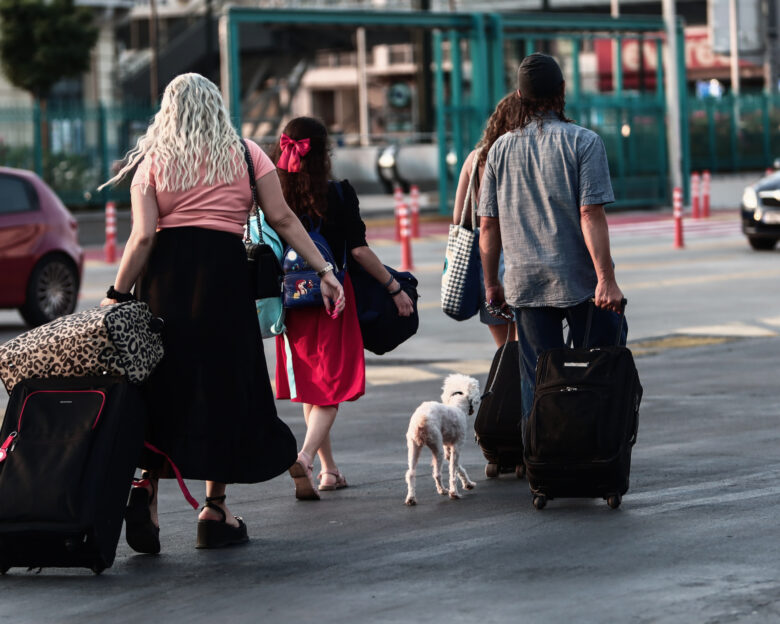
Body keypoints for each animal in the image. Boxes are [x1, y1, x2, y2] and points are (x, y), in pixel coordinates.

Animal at [402, 372, 482, 504]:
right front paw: (454, 492)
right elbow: (453, 471)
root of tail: (420, 421)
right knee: (437, 474)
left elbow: (457, 467)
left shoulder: (448, 448)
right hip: (436, 447)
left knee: (411, 473)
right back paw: (443, 490)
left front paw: (468, 484)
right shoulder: (457, 446)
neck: (458, 406)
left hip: (413, 447)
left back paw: (411, 498)